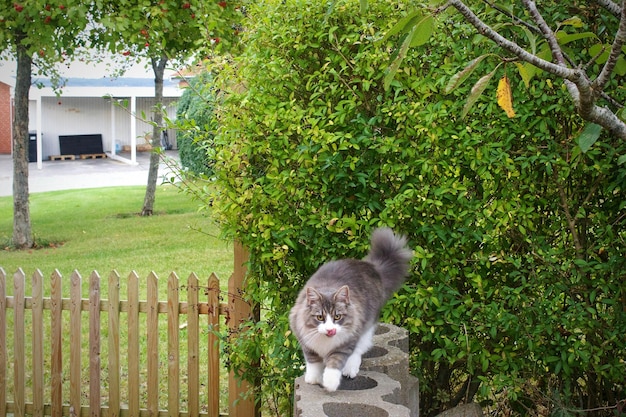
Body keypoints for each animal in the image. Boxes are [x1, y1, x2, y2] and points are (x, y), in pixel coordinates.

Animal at [290, 228, 412, 390]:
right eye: (320, 317)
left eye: (337, 317)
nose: (330, 330)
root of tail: (371, 266)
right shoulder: (305, 341)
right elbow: (313, 361)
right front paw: (314, 378)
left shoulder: (345, 343)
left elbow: (335, 362)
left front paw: (330, 382)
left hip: (366, 327)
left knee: (359, 350)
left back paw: (350, 369)